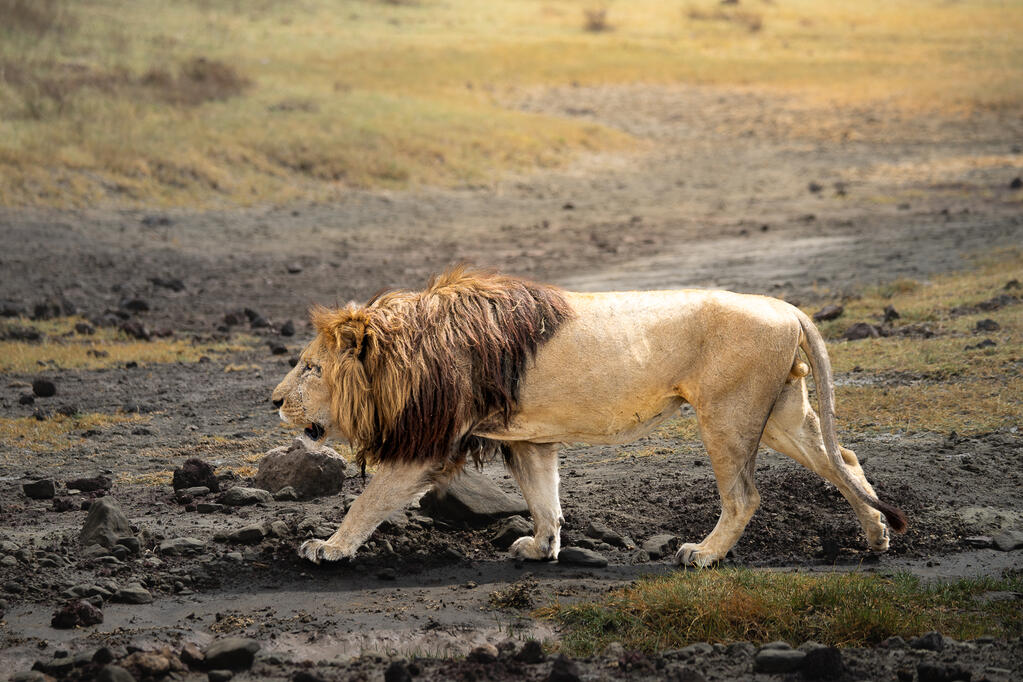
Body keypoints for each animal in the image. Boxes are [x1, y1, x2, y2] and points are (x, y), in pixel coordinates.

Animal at [271, 266, 906, 566]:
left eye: (309, 368)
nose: (273, 401)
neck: (409, 348)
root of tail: (786, 306)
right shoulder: (526, 436)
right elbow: (543, 497)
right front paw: (542, 548)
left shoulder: (430, 441)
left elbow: (367, 501)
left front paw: (329, 548)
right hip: (777, 416)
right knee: (844, 460)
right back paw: (876, 536)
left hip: (728, 414)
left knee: (746, 495)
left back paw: (704, 555)